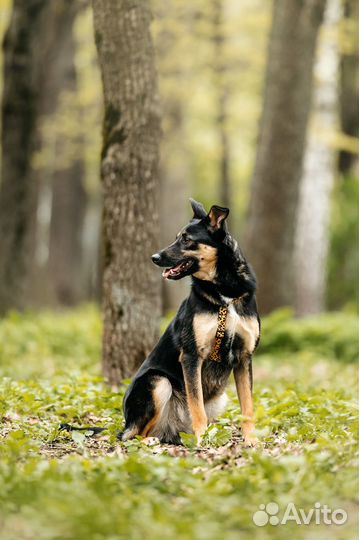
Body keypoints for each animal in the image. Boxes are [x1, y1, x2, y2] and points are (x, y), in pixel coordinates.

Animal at [121, 199, 262, 448]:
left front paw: (250, 439)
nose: (154, 257)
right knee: (130, 435)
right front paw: (201, 438)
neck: (224, 290)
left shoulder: (244, 357)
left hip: (219, 398)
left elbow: (248, 407)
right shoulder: (191, 356)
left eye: (187, 239)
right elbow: (196, 407)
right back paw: (150, 440)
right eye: (177, 237)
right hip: (158, 382)